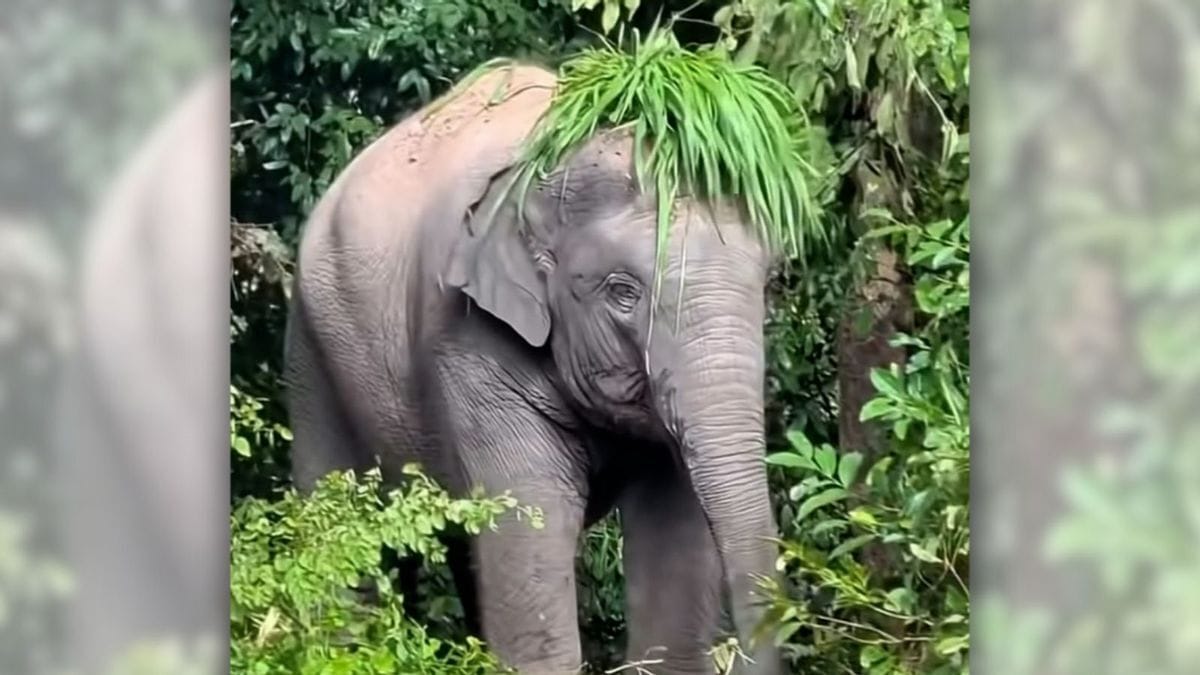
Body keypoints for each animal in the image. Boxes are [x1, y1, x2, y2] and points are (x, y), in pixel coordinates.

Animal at [285, 63, 784, 675]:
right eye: (623, 292)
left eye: (768, 279)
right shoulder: (468, 338)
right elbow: (532, 529)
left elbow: (674, 546)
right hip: (312, 351)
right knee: (341, 535)